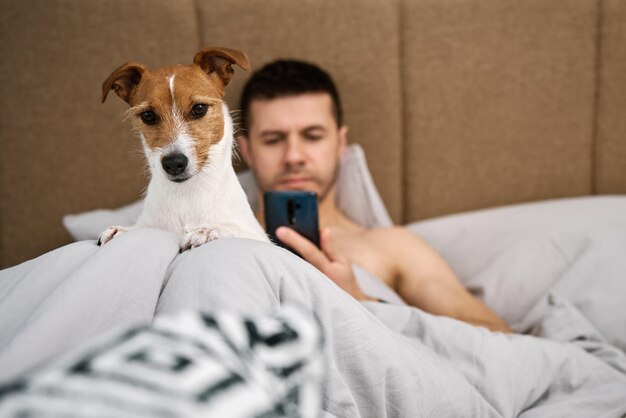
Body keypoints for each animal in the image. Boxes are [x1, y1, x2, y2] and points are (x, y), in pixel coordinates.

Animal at [98, 47, 266, 250]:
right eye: (148, 115)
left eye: (199, 108)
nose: (173, 163)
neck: (187, 194)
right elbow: (142, 227)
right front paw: (123, 230)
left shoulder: (261, 238)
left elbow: (233, 230)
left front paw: (207, 230)